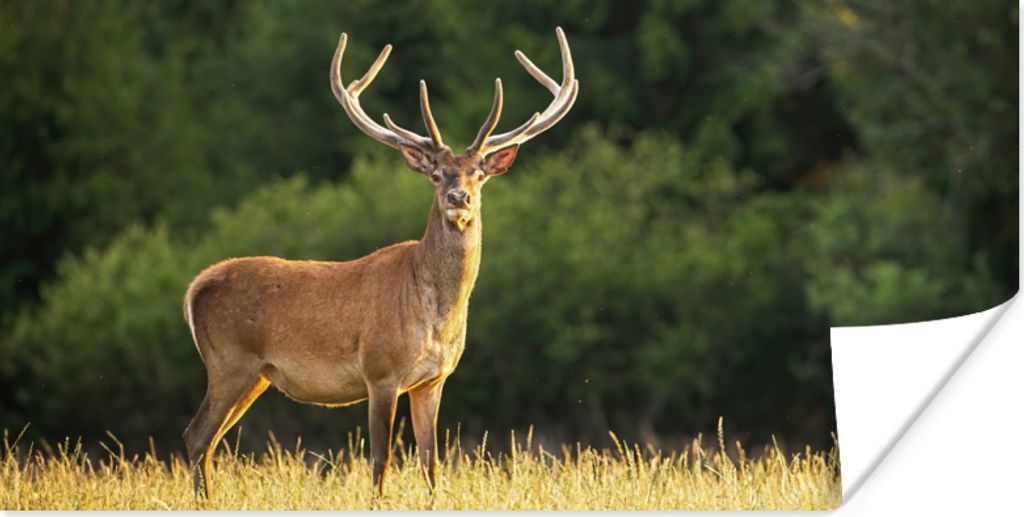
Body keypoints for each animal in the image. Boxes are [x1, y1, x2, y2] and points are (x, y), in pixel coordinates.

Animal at [181, 27, 578, 499]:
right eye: (437, 174)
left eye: (479, 174)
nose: (458, 197)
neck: (435, 314)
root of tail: (194, 289)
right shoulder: (380, 370)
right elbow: (381, 460)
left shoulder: (433, 380)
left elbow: (431, 463)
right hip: (229, 361)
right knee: (196, 435)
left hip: (255, 374)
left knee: (207, 440)